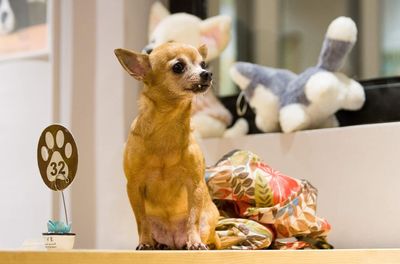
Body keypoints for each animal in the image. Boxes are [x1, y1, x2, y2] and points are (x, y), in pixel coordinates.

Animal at [115, 42, 220, 251]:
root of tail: (173, 242)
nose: (207, 73)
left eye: (203, 64)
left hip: (209, 220)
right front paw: (145, 243)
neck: (167, 125)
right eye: (178, 67)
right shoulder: (134, 186)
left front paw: (195, 242)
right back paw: (158, 245)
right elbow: (141, 220)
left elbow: (193, 218)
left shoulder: (194, 185)